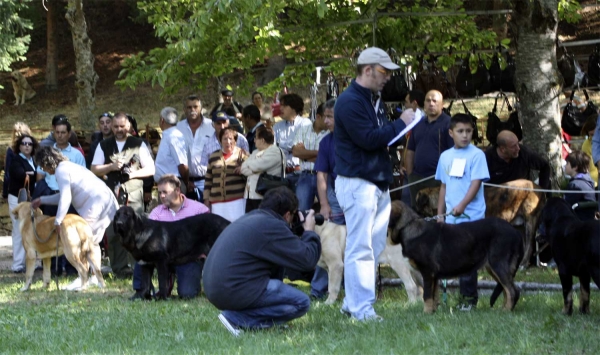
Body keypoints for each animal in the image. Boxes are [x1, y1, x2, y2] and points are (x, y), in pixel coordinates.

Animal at [390, 202, 520, 312]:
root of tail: (516, 232)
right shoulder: (434, 276)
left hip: (498, 264)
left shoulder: (427, 272)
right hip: (492, 267)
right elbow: (434, 295)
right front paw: (433, 312)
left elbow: (427, 295)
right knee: (506, 290)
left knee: (512, 290)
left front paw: (425, 313)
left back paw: (506, 311)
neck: (408, 228)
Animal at [414, 181, 548, 268]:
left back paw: (523, 265)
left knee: (530, 244)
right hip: (520, 226)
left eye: (418, 207)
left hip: (530, 220)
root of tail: (539, 188)